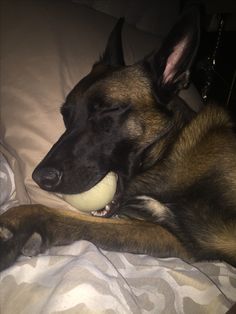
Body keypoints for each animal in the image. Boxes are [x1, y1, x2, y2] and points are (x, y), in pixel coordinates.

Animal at [0, 4, 236, 272]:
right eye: (65, 115)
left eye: (109, 109)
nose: (41, 177)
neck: (169, 152)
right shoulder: (174, 238)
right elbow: (72, 220)